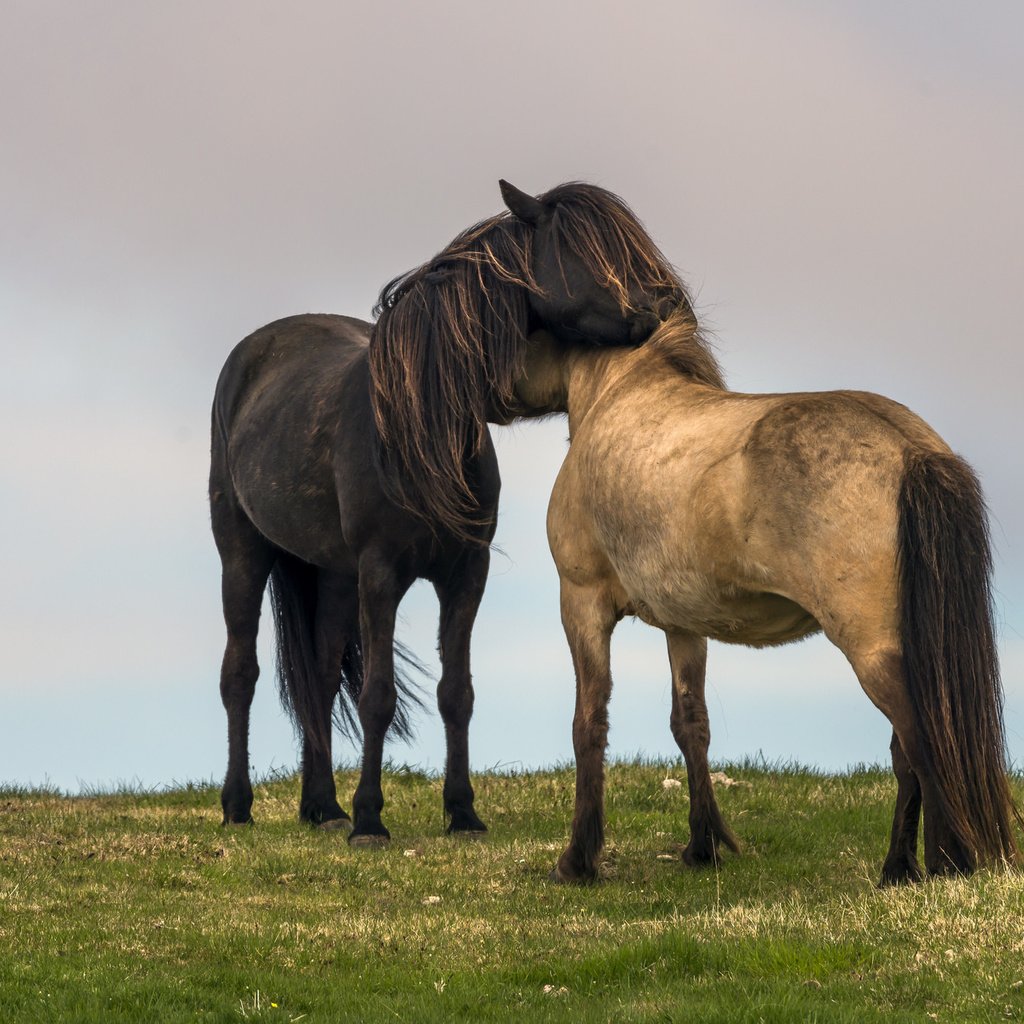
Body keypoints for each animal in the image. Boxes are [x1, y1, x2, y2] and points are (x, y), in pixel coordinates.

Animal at [210, 180, 684, 843]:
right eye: (581, 248)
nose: (665, 303)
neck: (420, 425)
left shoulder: (465, 572)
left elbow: (456, 692)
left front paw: (462, 812)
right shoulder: (381, 572)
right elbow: (378, 695)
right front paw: (370, 820)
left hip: (332, 574)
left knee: (320, 680)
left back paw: (322, 807)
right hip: (244, 554)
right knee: (240, 674)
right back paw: (239, 805)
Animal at [516, 311, 1019, 888]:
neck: (618, 397)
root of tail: (911, 449)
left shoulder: (581, 604)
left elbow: (588, 723)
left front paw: (578, 860)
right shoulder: (683, 623)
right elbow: (690, 723)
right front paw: (703, 846)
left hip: (873, 650)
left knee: (920, 743)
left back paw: (941, 863)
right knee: (904, 752)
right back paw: (899, 866)